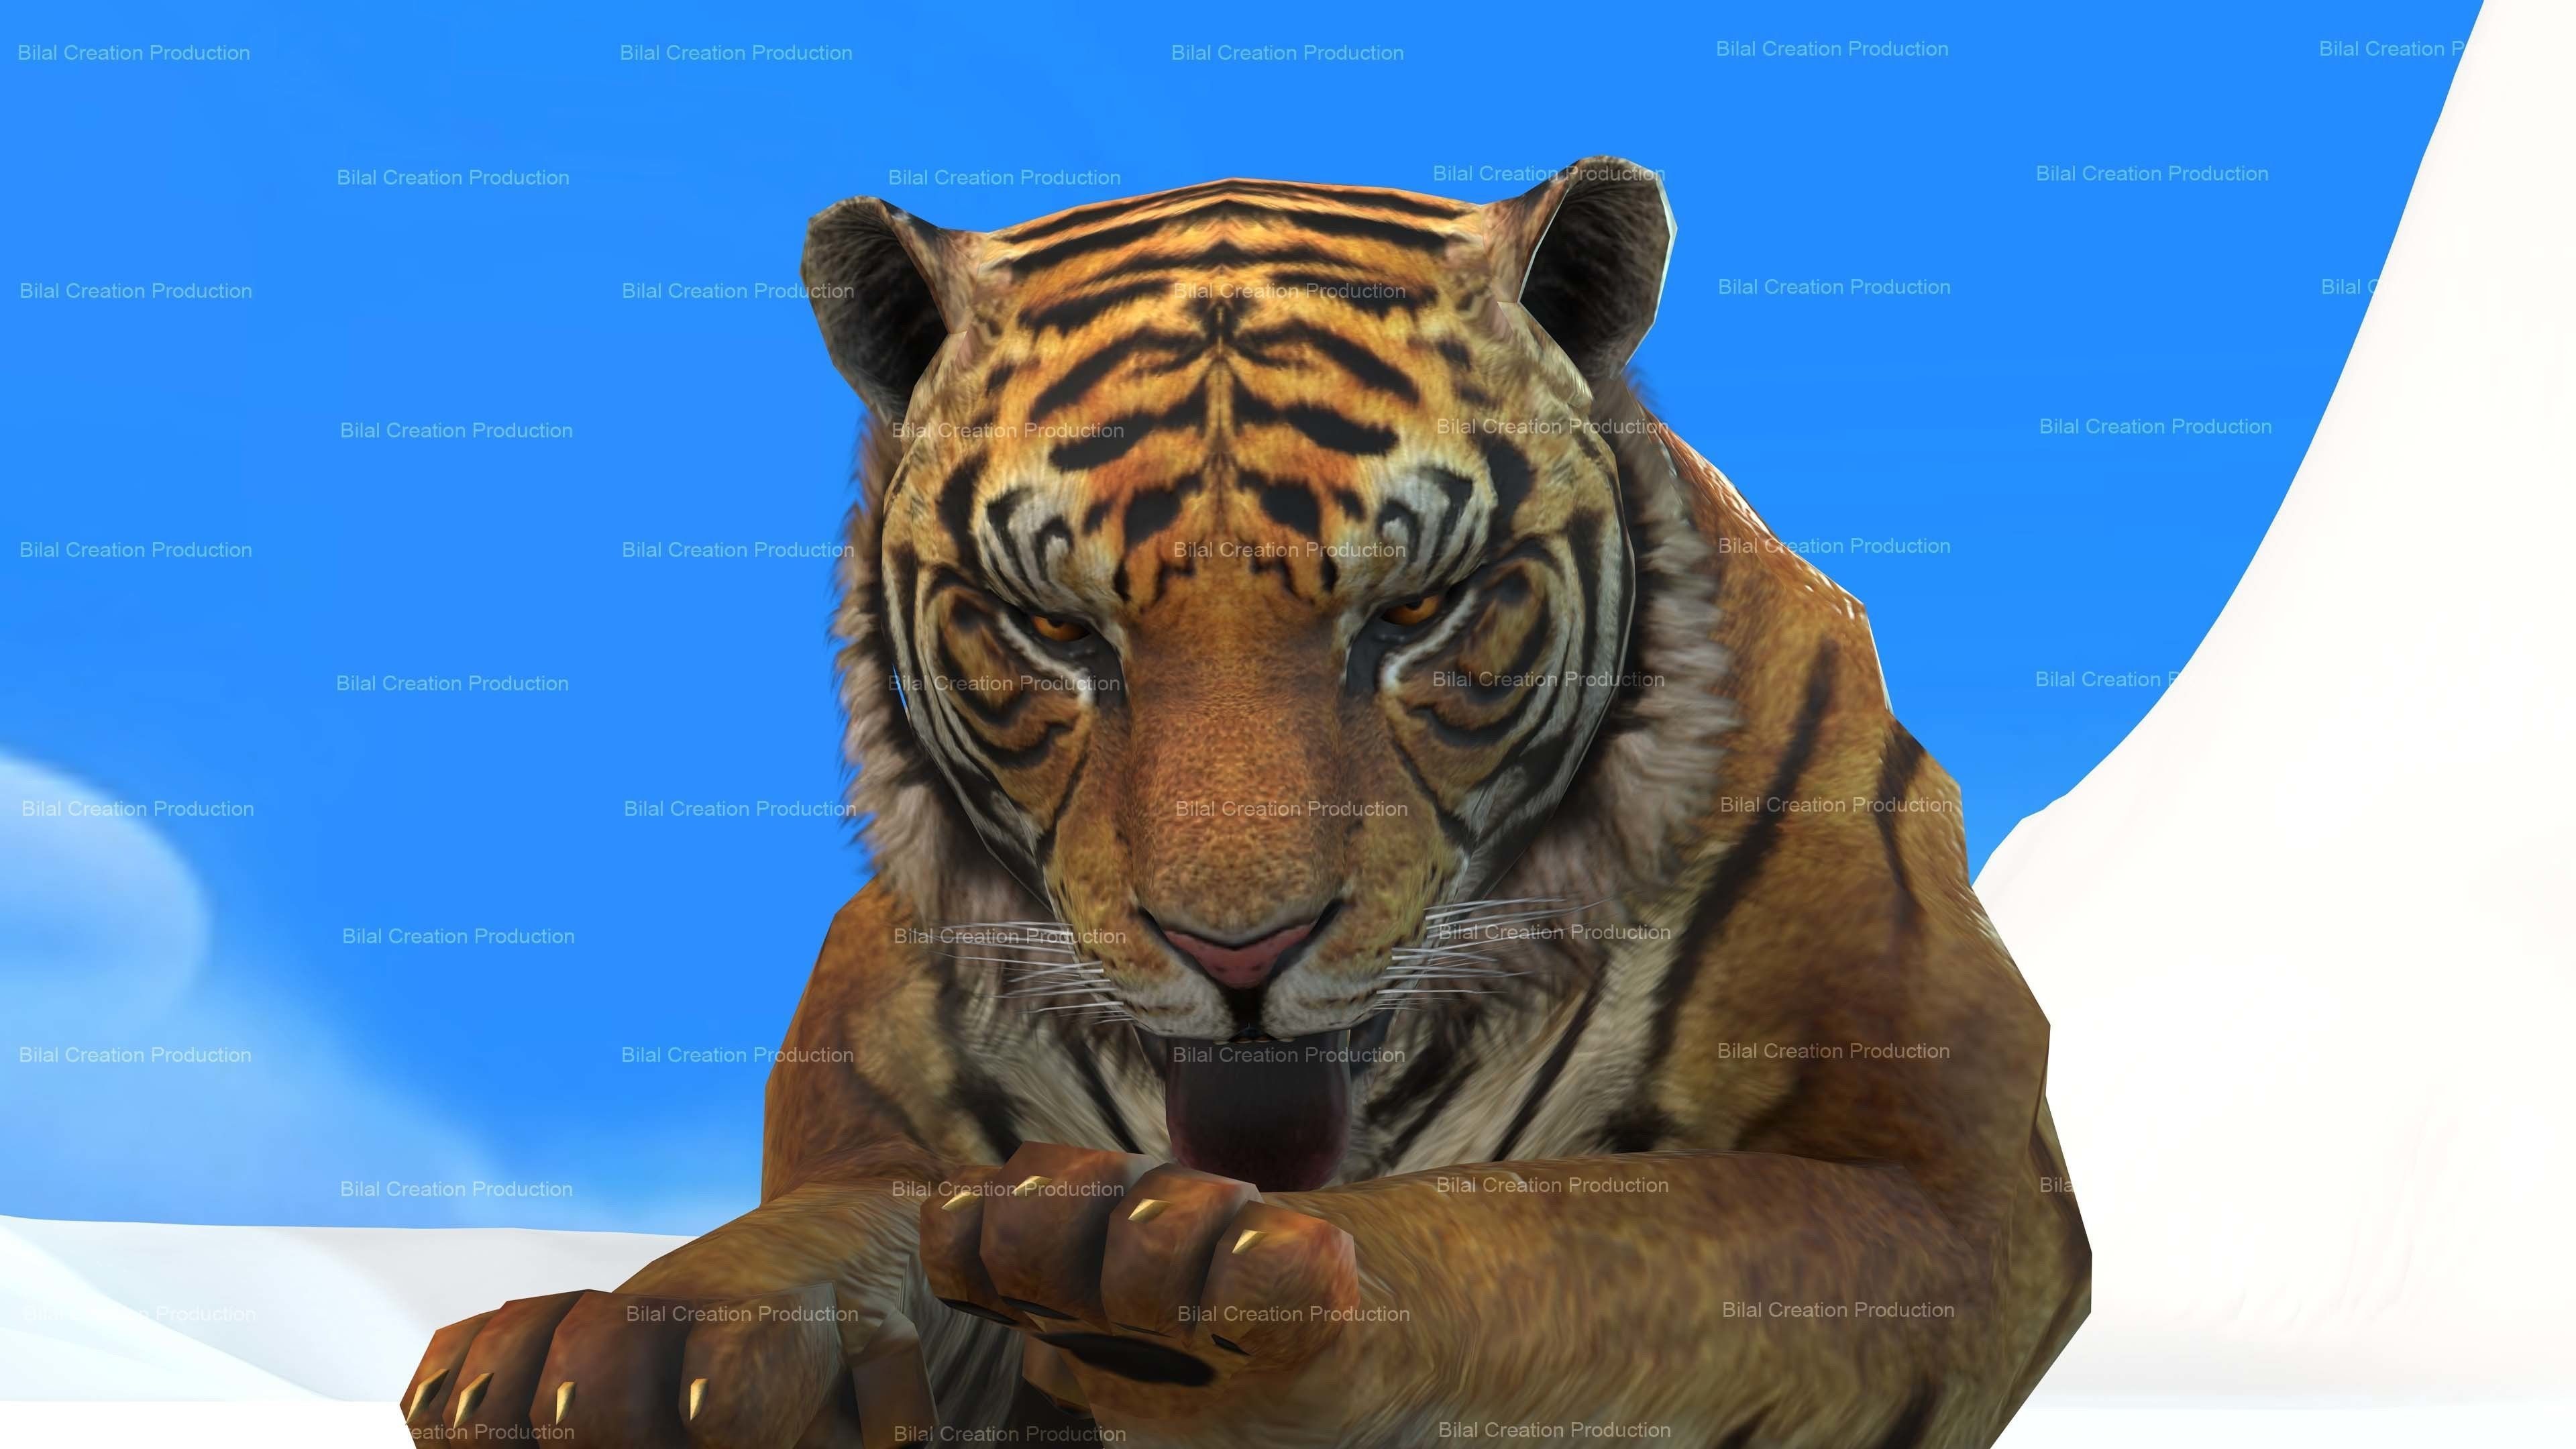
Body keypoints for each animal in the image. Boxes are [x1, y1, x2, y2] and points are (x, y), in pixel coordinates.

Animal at [401, 157, 2087, 1449]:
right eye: (1053, 629)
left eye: (1419, 609)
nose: (1238, 956)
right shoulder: (871, 1111)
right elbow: (844, 1215)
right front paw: (613, 1346)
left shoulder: (1938, 1186)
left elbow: (1557, 1227)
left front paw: (1188, 1290)